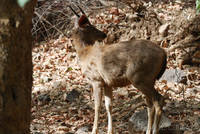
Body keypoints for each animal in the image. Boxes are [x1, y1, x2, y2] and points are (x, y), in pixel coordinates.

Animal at [69, 5, 166, 134]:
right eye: (90, 26)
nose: (103, 34)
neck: (85, 53)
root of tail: (164, 53)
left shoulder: (96, 79)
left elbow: (97, 106)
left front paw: (94, 130)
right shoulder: (107, 82)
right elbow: (108, 105)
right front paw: (110, 130)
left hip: (140, 78)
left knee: (159, 100)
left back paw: (155, 130)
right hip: (148, 79)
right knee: (150, 105)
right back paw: (148, 130)